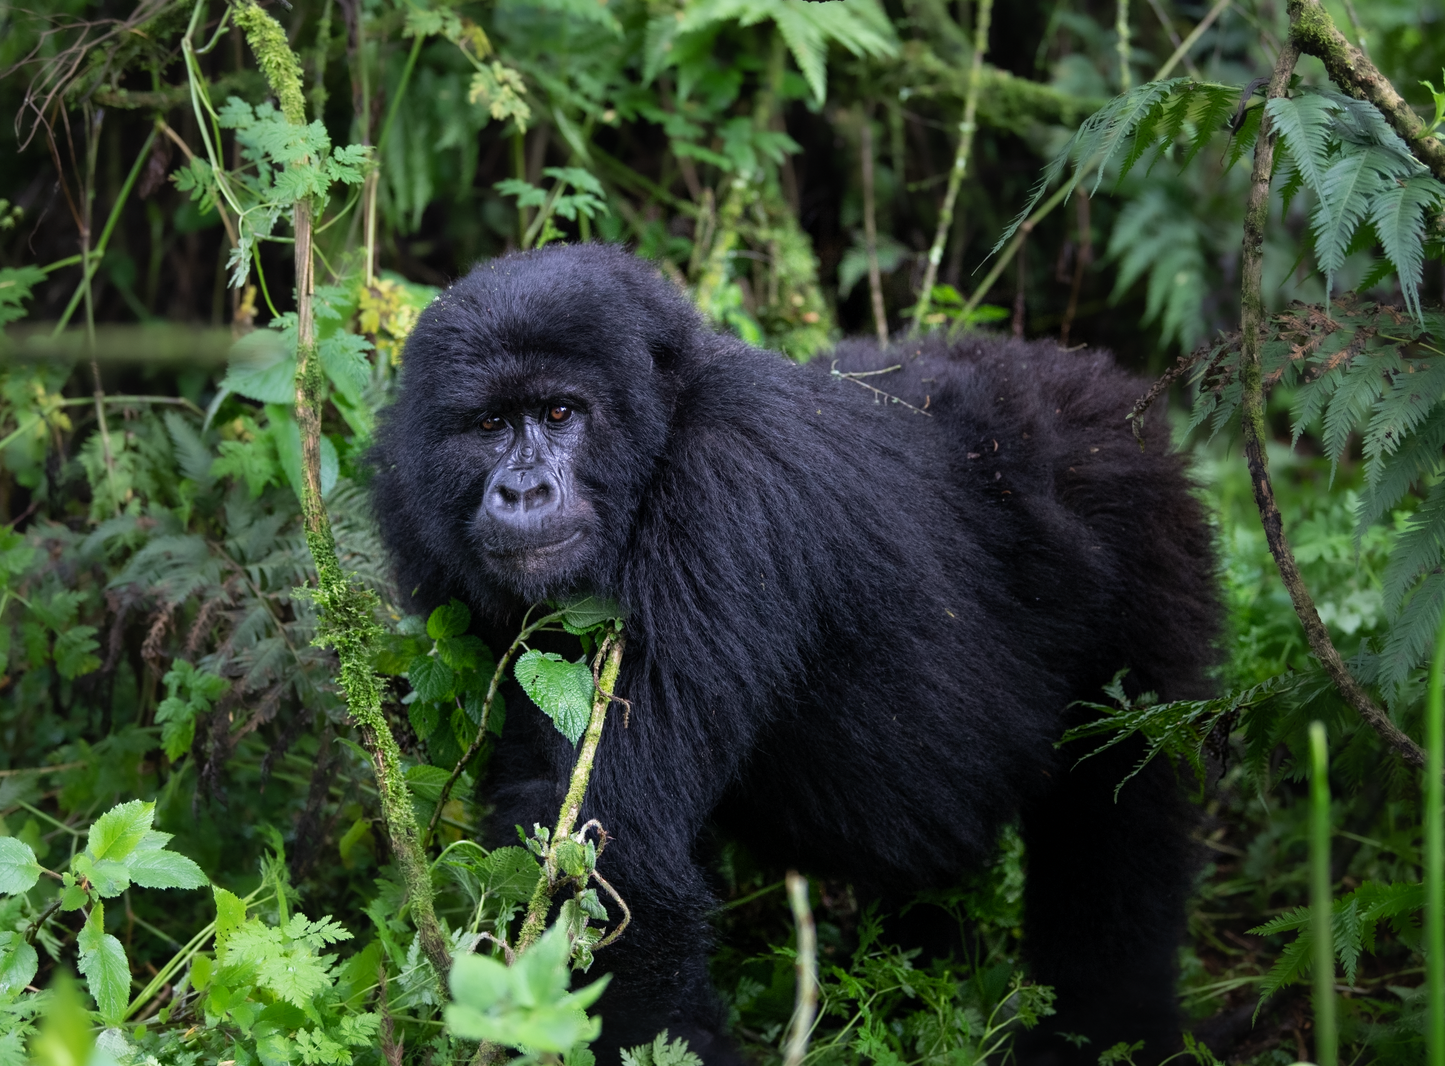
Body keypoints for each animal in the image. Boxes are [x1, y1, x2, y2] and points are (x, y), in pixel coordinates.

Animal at [372, 242, 1219, 1063]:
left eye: (559, 412)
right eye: (488, 426)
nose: (522, 493)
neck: (666, 422)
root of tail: (1093, 382)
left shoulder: (722, 486)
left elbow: (617, 853)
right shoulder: (419, 512)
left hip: (1143, 520)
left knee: (1121, 807)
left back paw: (1110, 1022)